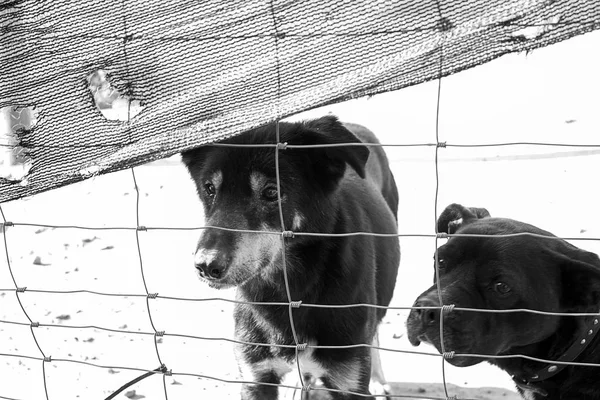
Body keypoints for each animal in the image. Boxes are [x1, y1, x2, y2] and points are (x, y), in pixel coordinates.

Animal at [180, 114, 400, 398]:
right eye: (209, 188)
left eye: (272, 192)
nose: (206, 266)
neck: (287, 288)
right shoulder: (255, 377)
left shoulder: (348, 383)